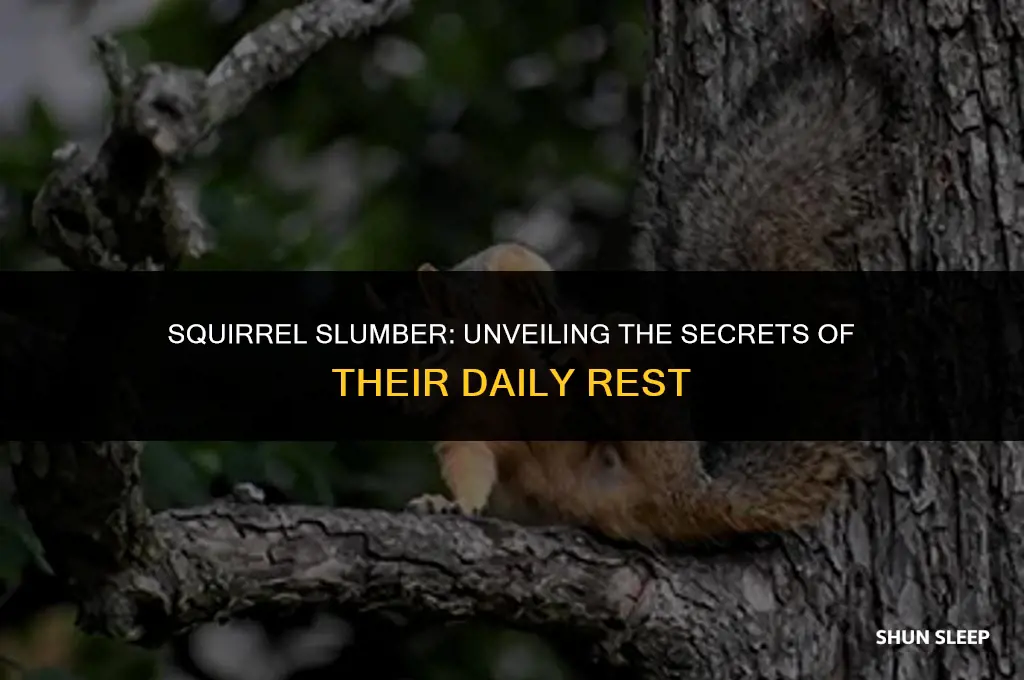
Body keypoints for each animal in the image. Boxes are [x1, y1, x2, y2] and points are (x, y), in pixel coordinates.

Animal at [405, 41, 893, 545]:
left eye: (433, 340)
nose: (415, 401)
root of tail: (690, 497)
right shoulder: (470, 426)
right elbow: (470, 464)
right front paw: (445, 504)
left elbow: (517, 262)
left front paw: (547, 318)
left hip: (642, 388)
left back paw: (586, 370)